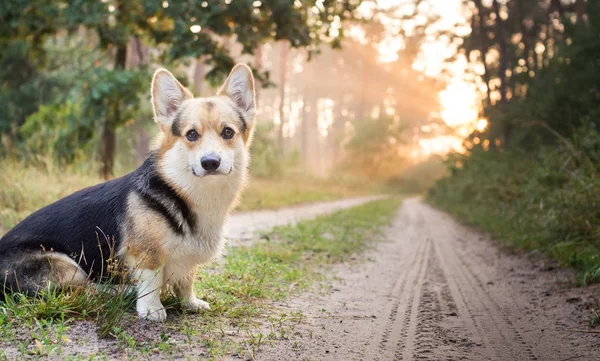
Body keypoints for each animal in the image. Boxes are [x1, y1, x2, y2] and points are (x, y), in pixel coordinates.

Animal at [0, 63, 255, 320]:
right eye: (192, 134)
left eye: (228, 132)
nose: (210, 162)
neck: (187, 191)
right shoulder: (146, 254)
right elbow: (152, 281)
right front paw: (152, 308)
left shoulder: (187, 261)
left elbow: (186, 281)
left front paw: (190, 302)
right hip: (67, 267)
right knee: (83, 290)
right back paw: (121, 292)